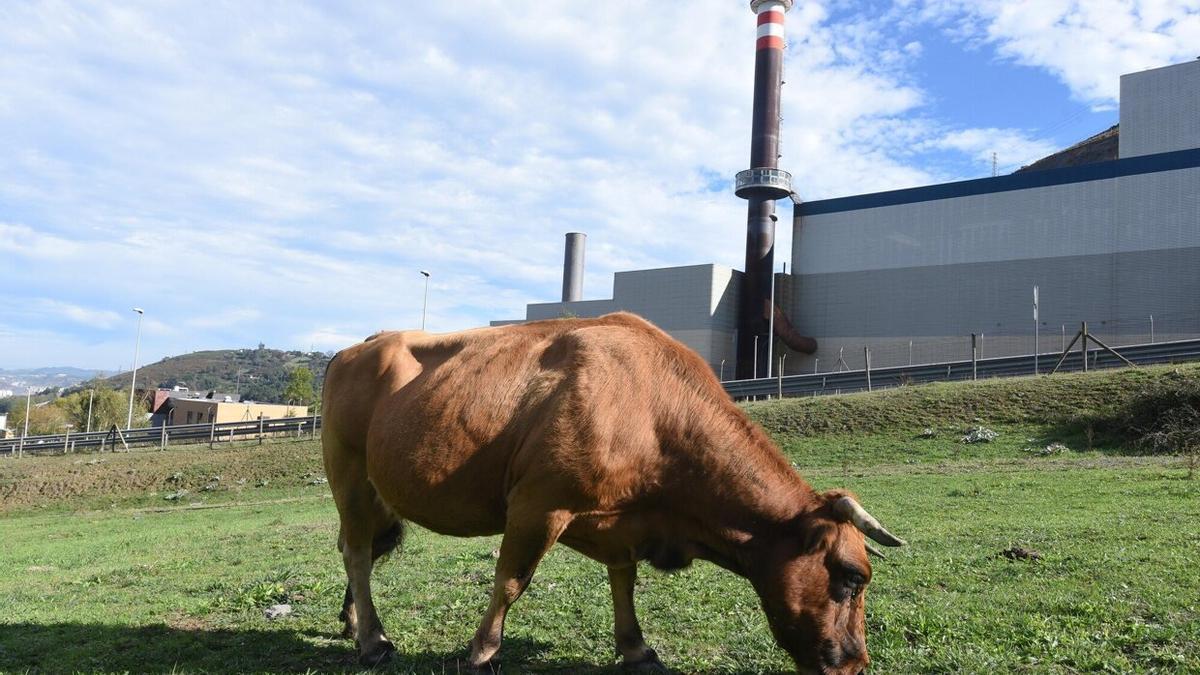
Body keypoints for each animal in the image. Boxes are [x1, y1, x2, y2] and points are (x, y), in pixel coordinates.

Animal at [324, 312, 902, 667]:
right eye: (852, 577)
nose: (857, 662)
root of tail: (359, 345)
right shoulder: (538, 504)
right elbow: (511, 581)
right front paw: (482, 653)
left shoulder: (622, 521)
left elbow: (624, 580)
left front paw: (636, 648)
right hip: (347, 473)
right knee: (357, 552)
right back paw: (373, 642)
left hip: (375, 492)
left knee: (363, 549)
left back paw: (353, 623)